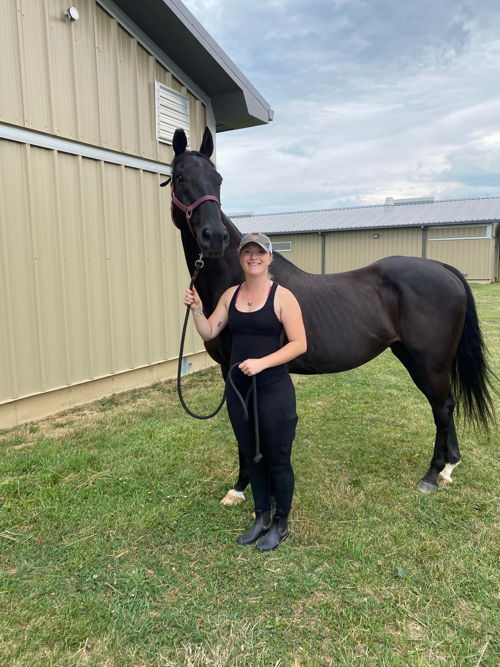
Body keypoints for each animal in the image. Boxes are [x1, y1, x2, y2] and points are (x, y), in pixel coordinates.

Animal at [168, 129, 496, 496]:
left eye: (218, 179)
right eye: (180, 177)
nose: (214, 238)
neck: (241, 279)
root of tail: (443, 268)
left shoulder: (236, 369)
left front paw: (242, 486)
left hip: (430, 361)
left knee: (442, 407)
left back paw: (431, 474)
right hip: (415, 358)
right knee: (446, 405)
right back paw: (449, 467)